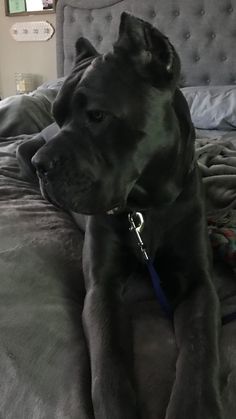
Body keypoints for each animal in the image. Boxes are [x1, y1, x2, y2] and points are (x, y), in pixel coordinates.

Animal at [17, 12, 222, 419]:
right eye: (57, 115)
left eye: (97, 115)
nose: (43, 165)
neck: (147, 208)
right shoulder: (103, 287)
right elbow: (108, 358)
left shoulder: (198, 283)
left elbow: (199, 345)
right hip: (23, 146)